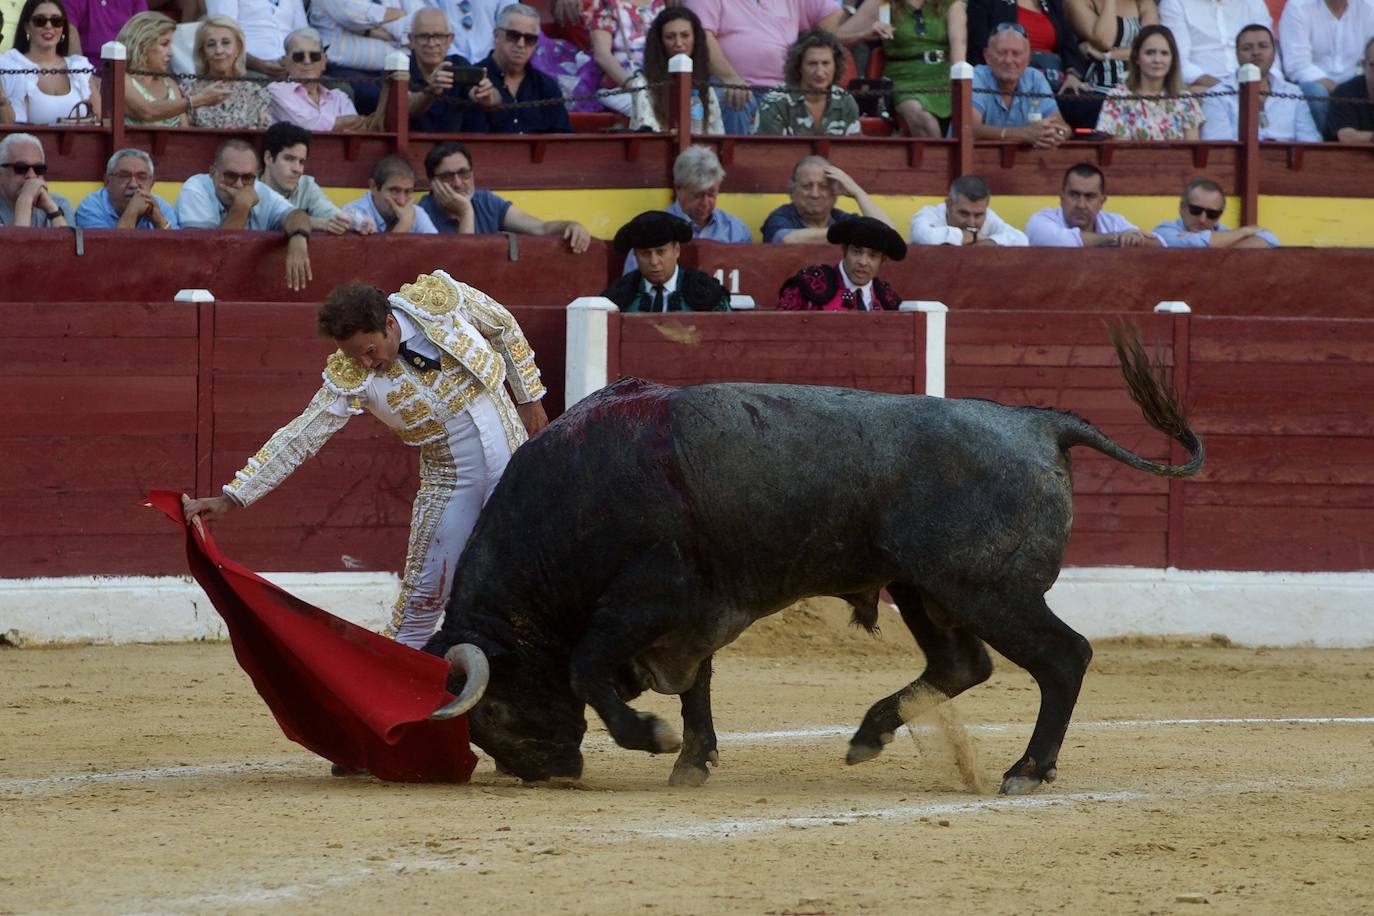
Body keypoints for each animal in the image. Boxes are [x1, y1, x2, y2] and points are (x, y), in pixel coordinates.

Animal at [420, 328, 1203, 796]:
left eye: (493, 709)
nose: (550, 772)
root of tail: (1040, 422)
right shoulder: (692, 616)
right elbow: (696, 684)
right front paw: (693, 761)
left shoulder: (650, 597)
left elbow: (590, 666)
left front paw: (653, 738)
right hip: (923, 588)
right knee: (963, 664)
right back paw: (870, 734)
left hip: (989, 591)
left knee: (1064, 659)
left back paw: (1027, 771)